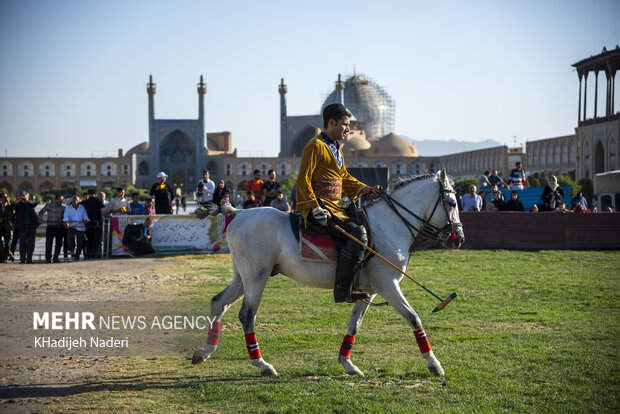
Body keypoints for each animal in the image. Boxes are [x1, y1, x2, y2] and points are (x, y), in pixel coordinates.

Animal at [191, 170, 462, 376]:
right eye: (451, 203)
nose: (459, 238)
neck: (389, 225)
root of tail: (238, 212)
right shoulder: (388, 285)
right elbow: (414, 318)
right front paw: (434, 364)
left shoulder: (369, 291)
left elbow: (354, 325)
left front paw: (348, 364)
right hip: (257, 276)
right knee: (247, 315)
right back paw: (262, 365)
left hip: (243, 276)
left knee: (219, 302)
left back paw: (204, 352)